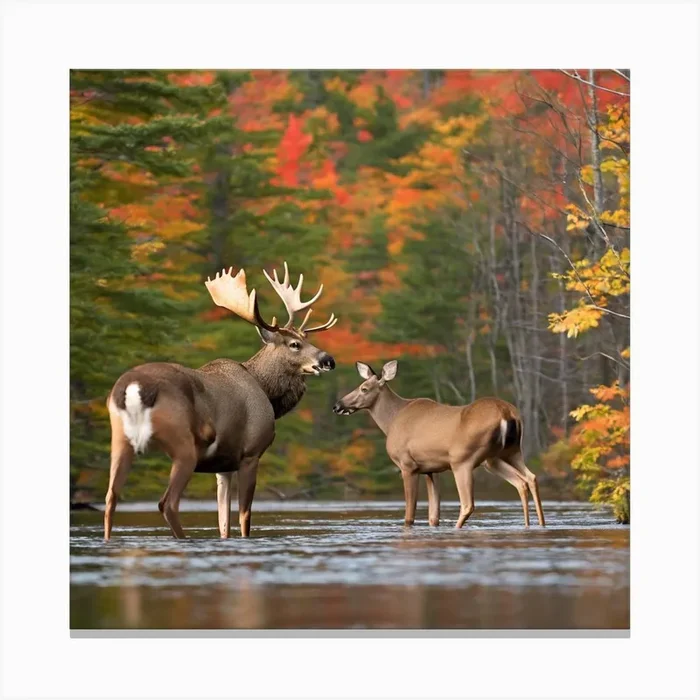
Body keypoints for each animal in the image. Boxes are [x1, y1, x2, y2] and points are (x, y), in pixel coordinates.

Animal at [104, 262, 338, 541]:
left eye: (307, 339)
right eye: (294, 344)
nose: (328, 360)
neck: (265, 390)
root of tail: (135, 387)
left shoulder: (223, 465)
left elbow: (223, 522)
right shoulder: (251, 453)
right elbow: (244, 517)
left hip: (120, 439)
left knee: (111, 499)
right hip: (184, 445)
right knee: (167, 503)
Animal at [333, 360, 545, 529]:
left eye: (364, 388)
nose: (337, 405)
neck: (391, 420)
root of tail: (506, 414)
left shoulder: (407, 465)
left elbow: (409, 516)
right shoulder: (431, 469)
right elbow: (433, 516)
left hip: (463, 460)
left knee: (468, 504)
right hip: (505, 454)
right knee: (528, 480)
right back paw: (536, 525)